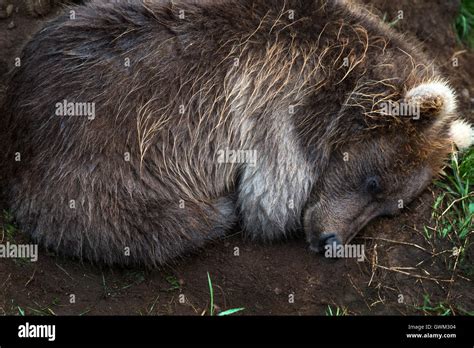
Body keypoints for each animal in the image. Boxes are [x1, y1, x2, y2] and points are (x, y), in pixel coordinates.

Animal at [0, 0, 474, 266]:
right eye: (373, 182)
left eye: (391, 209)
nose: (332, 243)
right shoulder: (277, 110)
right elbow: (270, 201)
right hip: (104, 161)